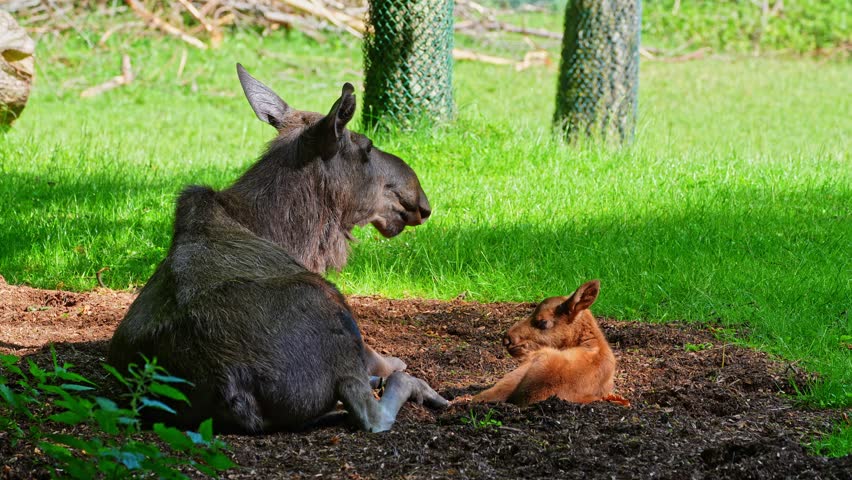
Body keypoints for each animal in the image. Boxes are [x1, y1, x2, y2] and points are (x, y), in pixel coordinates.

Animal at [107, 64, 447, 434]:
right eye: (368, 147)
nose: (418, 197)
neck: (295, 240)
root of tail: (232, 386)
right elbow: (382, 361)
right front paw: (394, 367)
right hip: (331, 310)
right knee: (371, 413)